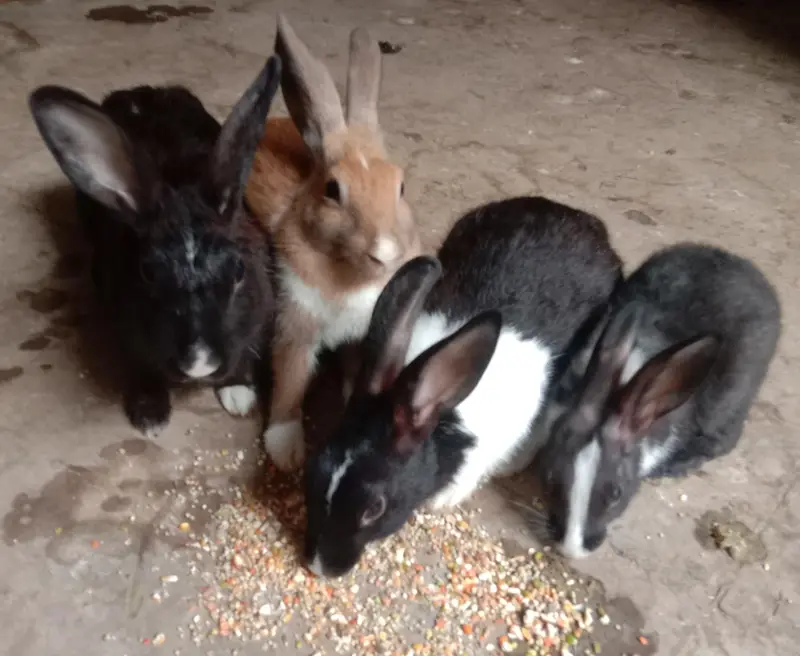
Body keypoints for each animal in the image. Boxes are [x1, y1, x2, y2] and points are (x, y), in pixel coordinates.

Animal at [29, 56, 283, 437]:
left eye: (239, 270)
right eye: (147, 272)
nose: (199, 363)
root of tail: (139, 92)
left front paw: (239, 395)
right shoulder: (127, 333)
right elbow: (142, 370)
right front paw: (150, 418)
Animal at [245, 15, 421, 471]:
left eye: (400, 186)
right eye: (332, 190)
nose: (385, 253)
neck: (349, 277)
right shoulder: (295, 329)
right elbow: (290, 384)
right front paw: (286, 451)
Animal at [302, 196, 623, 577]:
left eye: (374, 508)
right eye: (316, 469)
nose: (320, 567)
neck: (441, 415)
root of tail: (583, 220)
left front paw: (443, 500)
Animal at [534, 243, 782, 559]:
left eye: (616, 493)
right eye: (550, 478)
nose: (573, 550)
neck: (617, 391)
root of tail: (755, 275)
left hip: (733, 395)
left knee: (725, 439)